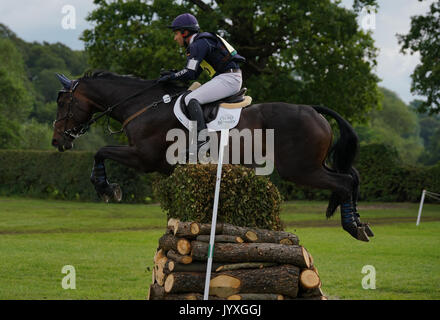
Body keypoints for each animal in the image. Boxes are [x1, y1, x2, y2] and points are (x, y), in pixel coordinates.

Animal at [52, 69, 374, 240]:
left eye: (63, 103)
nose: (58, 141)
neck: (143, 105)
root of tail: (312, 109)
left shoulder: (144, 157)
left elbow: (100, 152)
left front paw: (106, 188)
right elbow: (102, 153)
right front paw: (106, 187)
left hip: (300, 169)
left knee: (345, 181)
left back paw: (352, 226)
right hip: (313, 165)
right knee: (351, 177)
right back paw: (360, 222)